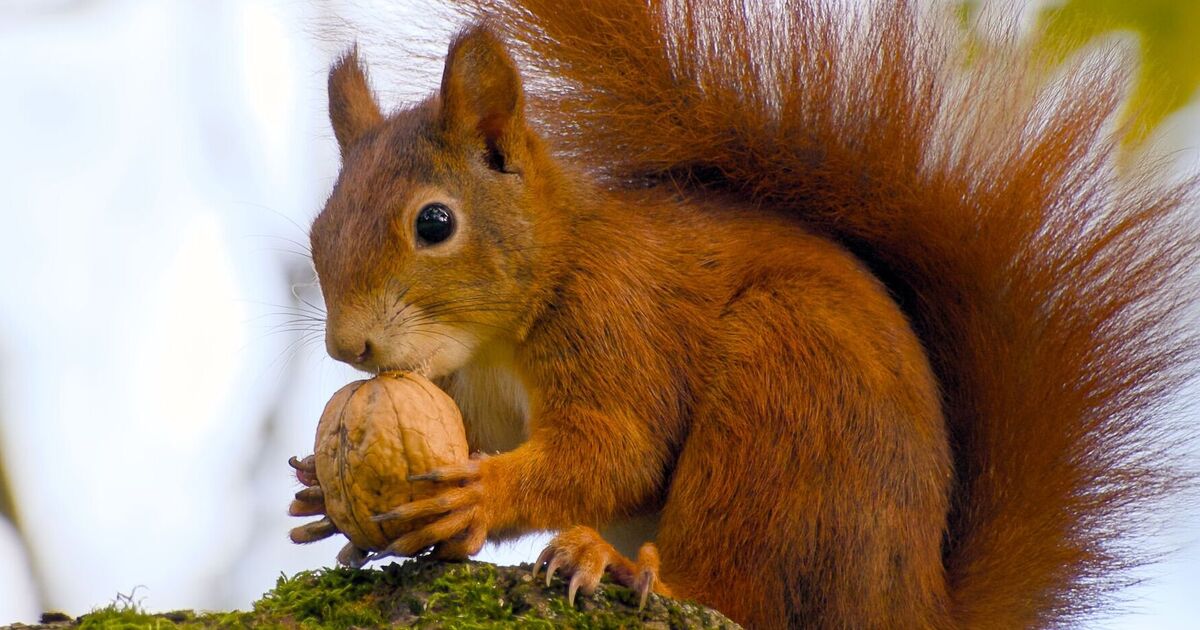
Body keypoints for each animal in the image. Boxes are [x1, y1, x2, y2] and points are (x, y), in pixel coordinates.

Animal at [295, 2, 1195, 624]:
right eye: (320, 226)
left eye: (434, 223)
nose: (348, 348)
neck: (493, 342)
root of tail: (911, 600)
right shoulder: (472, 398)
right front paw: (318, 495)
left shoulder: (618, 321)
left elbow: (614, 452)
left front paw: (477, 497)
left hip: (784, 397)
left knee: (737, 585)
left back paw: (625, 567)